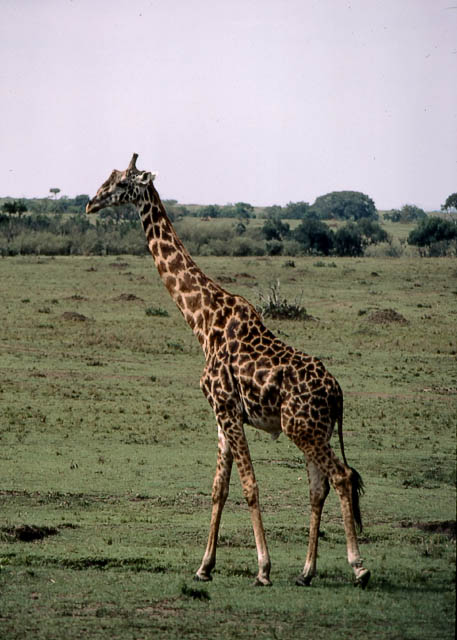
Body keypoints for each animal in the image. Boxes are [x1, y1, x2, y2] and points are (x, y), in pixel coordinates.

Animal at [86, 154, 370, 588]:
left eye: (121, 183)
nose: (90, 203)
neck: (202, 322)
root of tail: (338, 392)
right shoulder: (222, 414)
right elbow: (218, 488)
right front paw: (204, 566)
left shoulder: (227, 410)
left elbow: (250, 485)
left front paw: (263, 568)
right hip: (314, 431)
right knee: (318, 486)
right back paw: (306, 572)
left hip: (301, 429)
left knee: (341, 477)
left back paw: (358, 567)